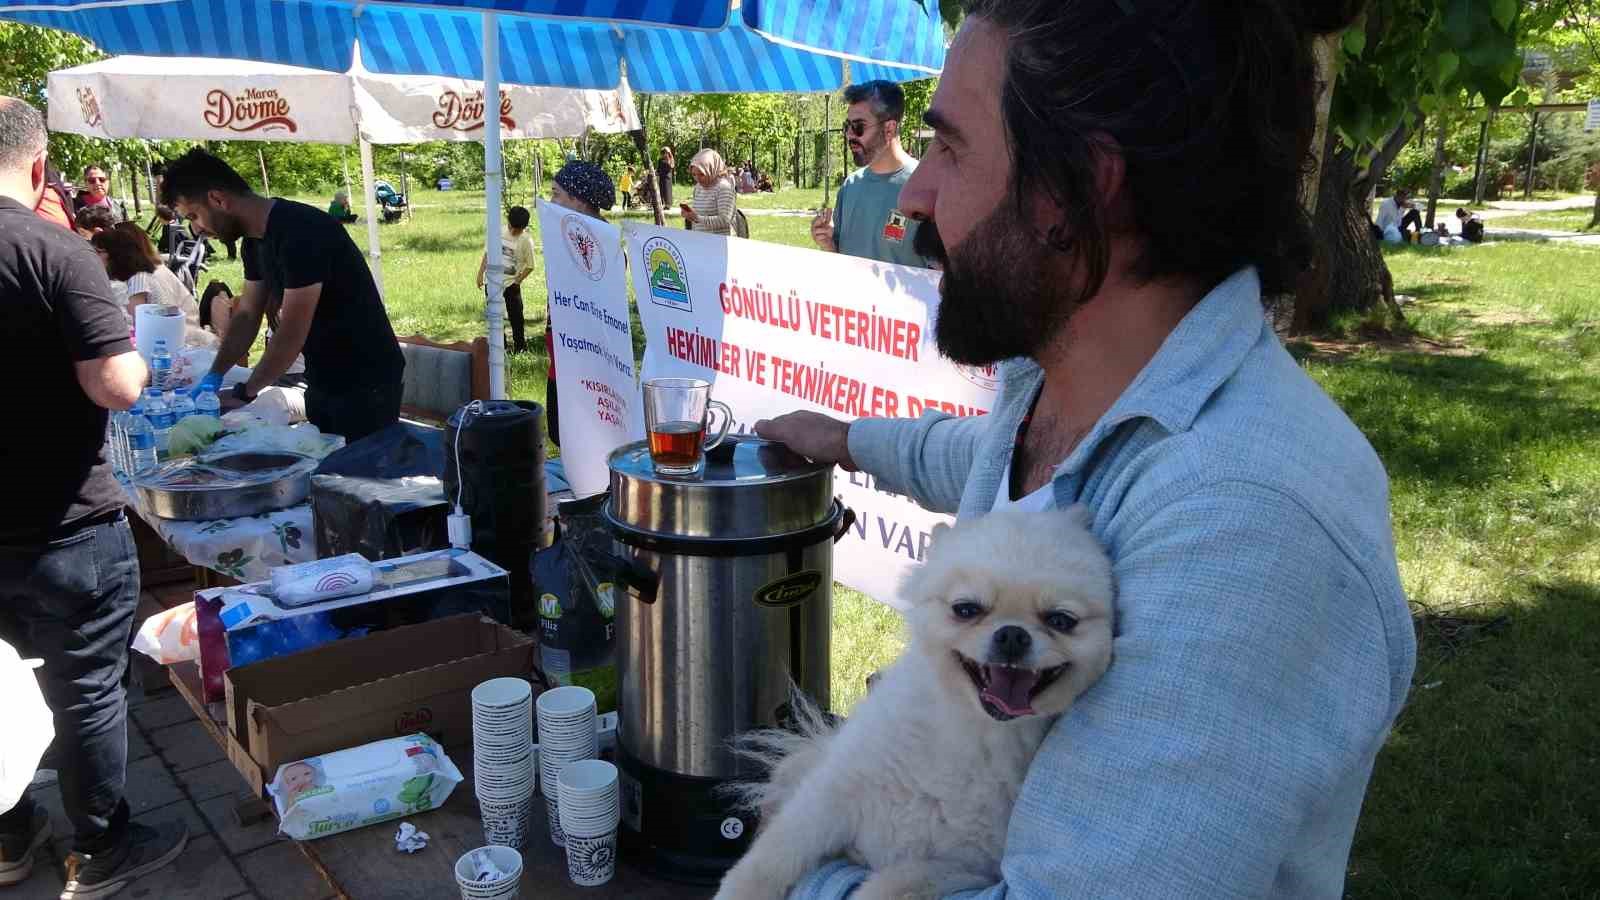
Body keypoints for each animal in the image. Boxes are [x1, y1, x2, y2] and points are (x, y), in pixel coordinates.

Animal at [720, 506, 1120, 896]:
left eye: (1061, 620)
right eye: (966, 609)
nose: (1012, 635)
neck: (970, 731)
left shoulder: (965, 867)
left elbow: (890, 887)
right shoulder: (829, 797)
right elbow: (773, 857)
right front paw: (741, 889)